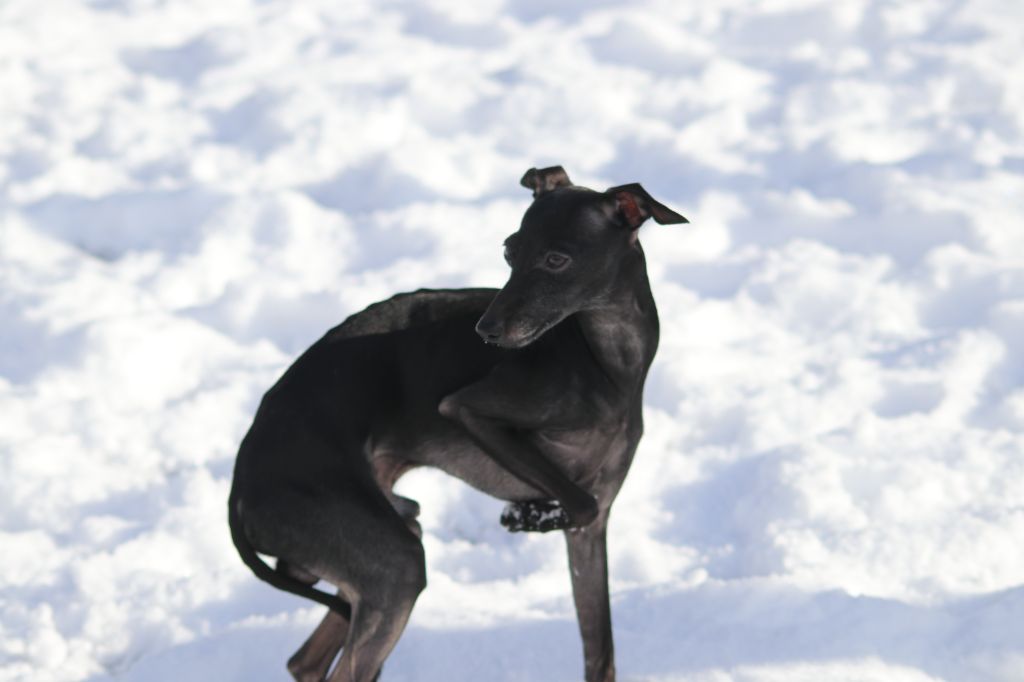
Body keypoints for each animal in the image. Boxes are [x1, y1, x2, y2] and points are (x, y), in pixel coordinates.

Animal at [228, 165, 684, 679]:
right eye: (509, 251)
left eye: (555, 259)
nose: (486, 331)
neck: (606, 362)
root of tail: (239, 487)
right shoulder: (471, 410)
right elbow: (578, 501)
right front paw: (528, 515)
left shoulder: (591, 533)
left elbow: (600, 653)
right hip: (393, 567)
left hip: (371, 551)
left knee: (306, 658)